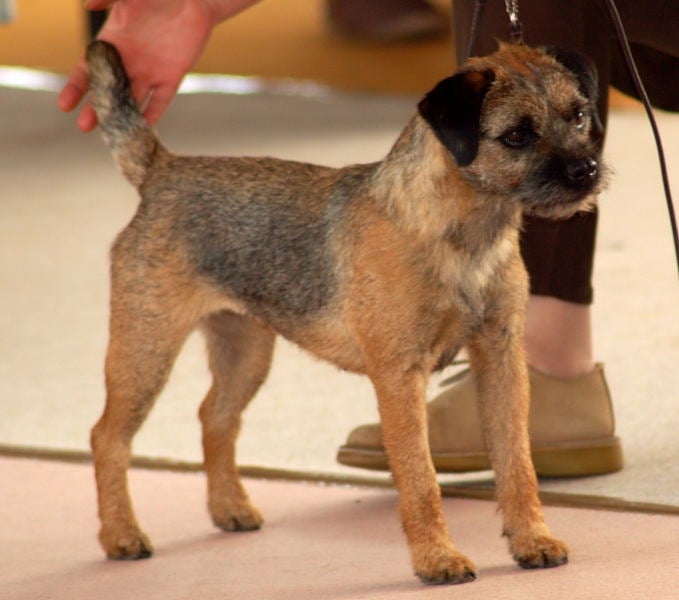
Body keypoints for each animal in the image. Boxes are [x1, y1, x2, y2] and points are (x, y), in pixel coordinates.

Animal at [85, 40, 605, 584]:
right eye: (518, 135)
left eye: (579, 115)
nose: (586, 170)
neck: (461, 236)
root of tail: (161, 170)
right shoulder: (399, 377)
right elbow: (419, 478)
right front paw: (437, 559)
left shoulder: (501, 360)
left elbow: (517, 462)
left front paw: (532, 541)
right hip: (145, 350)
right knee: (108, 437)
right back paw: (121, 535)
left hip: (244, 351)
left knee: (215, 417)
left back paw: (230, 507)